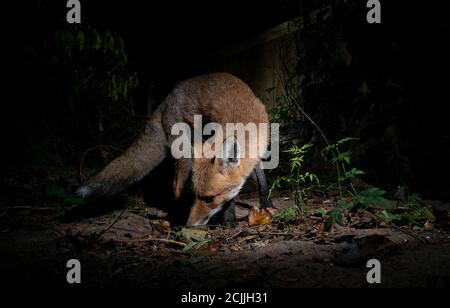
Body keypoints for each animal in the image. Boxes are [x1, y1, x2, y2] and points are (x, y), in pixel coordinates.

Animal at [77, 73, 272, 226]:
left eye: (208, 199)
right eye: (196, 195)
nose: (190, 224)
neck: (244, 122)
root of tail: (169, 95)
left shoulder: (257, 154)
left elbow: (262, 182)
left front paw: (267, 205)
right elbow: (230, 197)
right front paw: (230, 218)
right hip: (184, 153)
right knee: (176, 184)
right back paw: (178, 215)